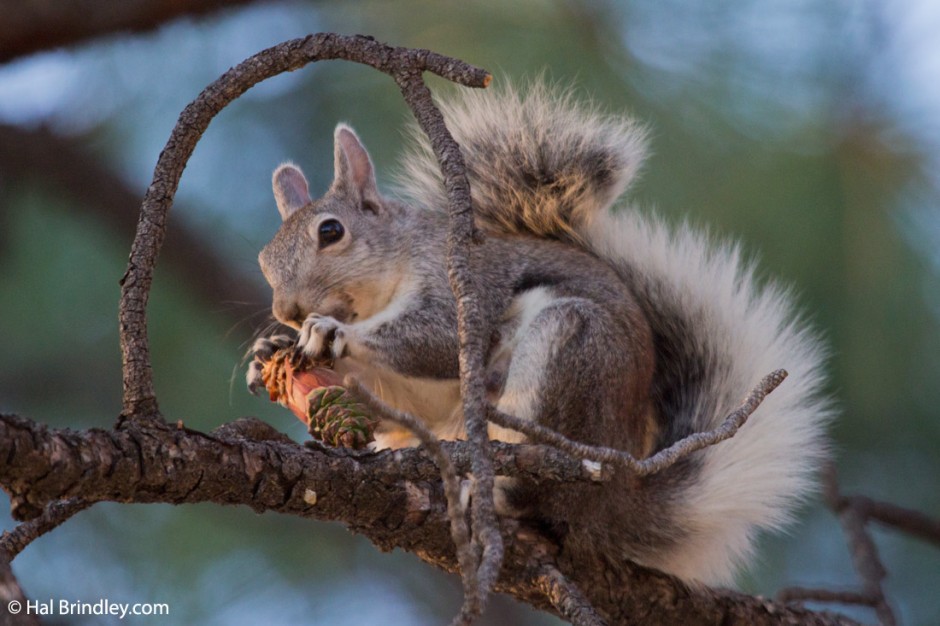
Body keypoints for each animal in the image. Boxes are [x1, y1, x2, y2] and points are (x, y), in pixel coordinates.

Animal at [248, 81, 828, 584]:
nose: (288, 310)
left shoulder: (465, 287)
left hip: (567, 353)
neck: (380, 290)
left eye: (331, 231)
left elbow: (436, 340)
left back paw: (491, 491)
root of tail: (613, 502)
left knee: (535, 493)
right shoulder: (410, 396)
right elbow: (397, 403)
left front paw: (329, 333)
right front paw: (269, 350)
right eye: (263, 259)